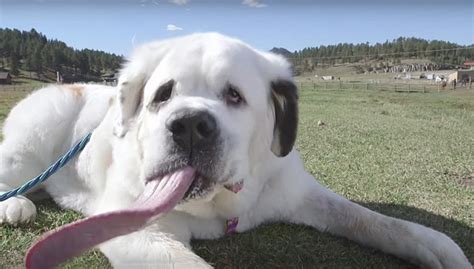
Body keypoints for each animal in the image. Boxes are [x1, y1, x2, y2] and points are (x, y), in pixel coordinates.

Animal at [0, 32, 470, 266]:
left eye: (234, 96)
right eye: (163, 95)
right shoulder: (136, 230)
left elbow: (380, 223)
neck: (222, 206)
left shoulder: (300, 192)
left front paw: (443, 250)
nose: (190, 125)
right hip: (29, 142)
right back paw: (17, 205)